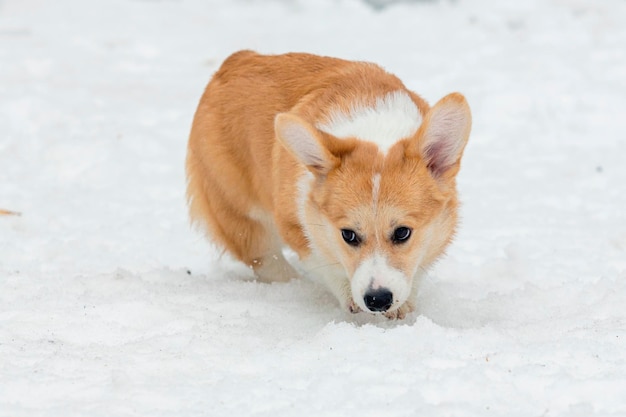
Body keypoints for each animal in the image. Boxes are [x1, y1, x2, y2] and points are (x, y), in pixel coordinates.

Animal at [185, 51, 468, 318]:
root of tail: (236, 59)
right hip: (241, 214)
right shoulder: (295, 224)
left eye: (402, 233)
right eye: (348, 235)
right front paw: (348, 295)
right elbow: (323, 258)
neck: (377, 130)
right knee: (266, 259)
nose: (377, 300)